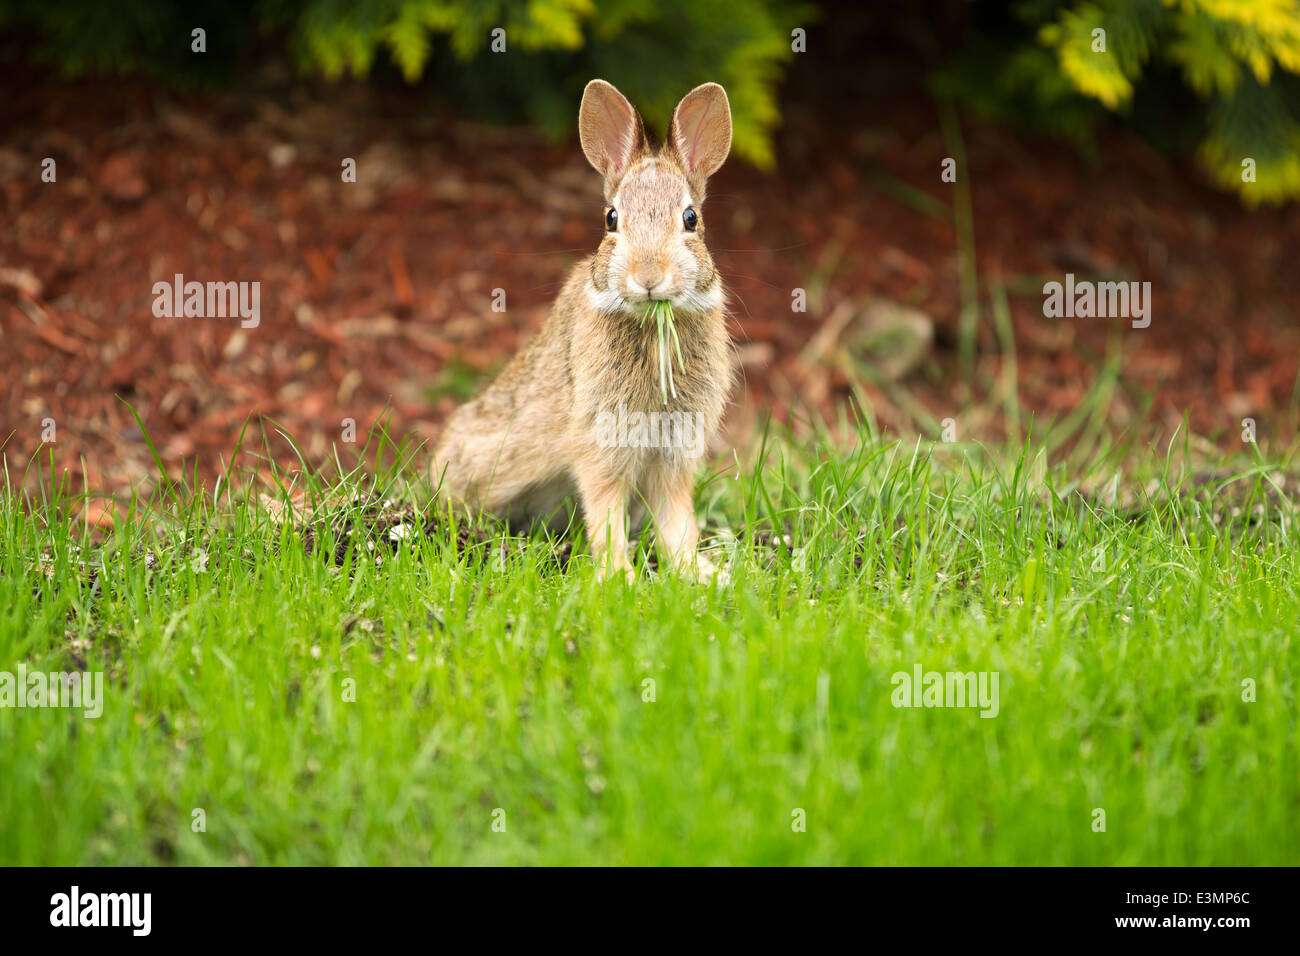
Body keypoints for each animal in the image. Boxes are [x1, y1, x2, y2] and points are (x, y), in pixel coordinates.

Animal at [432, 79, 736, 582]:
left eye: (691, 219)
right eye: (611, 219)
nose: (648, 276)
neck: (653, 325)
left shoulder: (674, 452)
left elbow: (676, 521)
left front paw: (700, 574)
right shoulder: (601, 445)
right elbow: (605, 511)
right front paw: (620, 578)